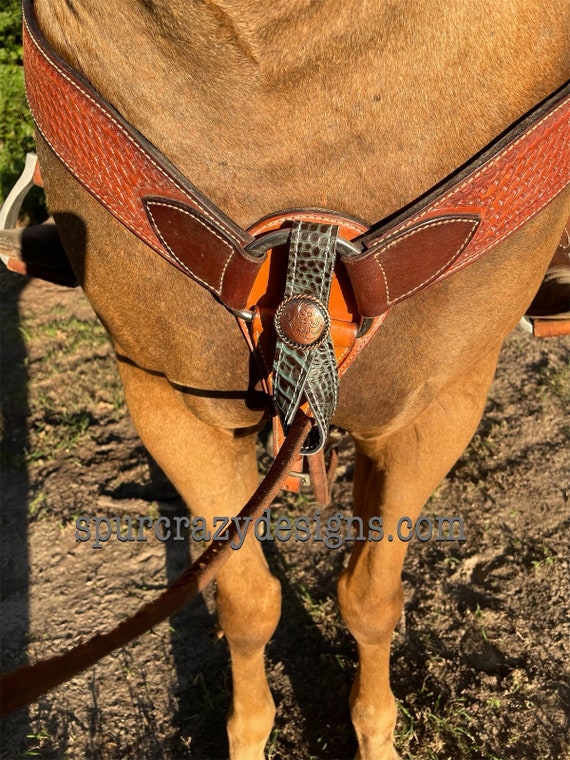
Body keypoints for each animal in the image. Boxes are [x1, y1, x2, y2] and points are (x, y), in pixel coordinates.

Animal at [20, 1, 570, 758]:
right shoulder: (170, 404)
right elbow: (248, 603)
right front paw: (249, 734)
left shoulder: (437, 409)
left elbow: (369, 598)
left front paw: (375, 733)